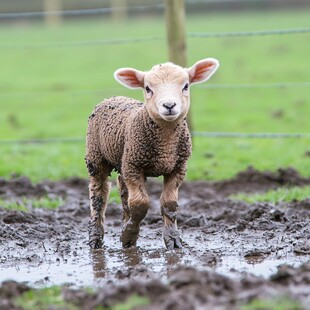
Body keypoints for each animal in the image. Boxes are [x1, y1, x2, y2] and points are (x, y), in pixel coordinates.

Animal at [86, 58, 219, 249]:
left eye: (186, 86)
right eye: (148, 88)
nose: (169, 105)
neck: (165, 146)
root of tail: (112, 97)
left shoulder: (178, 167)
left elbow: (169, 204)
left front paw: (173, 239)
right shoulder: (134, 166)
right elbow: (140, 204)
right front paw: (128, 234)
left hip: (124, 160)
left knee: (123, 190)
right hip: (97, 156)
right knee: (98, 194)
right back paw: (96, 238)